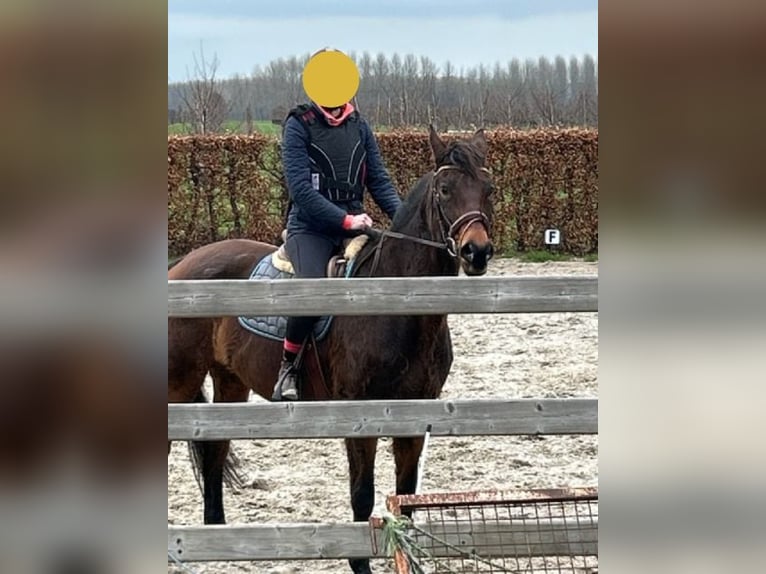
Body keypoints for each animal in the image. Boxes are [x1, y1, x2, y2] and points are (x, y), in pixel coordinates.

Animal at [168, 125, 495, 574]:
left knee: (216, 447)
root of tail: (184, 264)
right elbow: (363, 496)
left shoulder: (415, 414)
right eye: (445, 190)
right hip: (179, 380)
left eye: (489, 189)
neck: (400, 304)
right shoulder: (358, 416)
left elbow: (407, 497)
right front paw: (360, 563)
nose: (476, 251)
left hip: (229, 379)